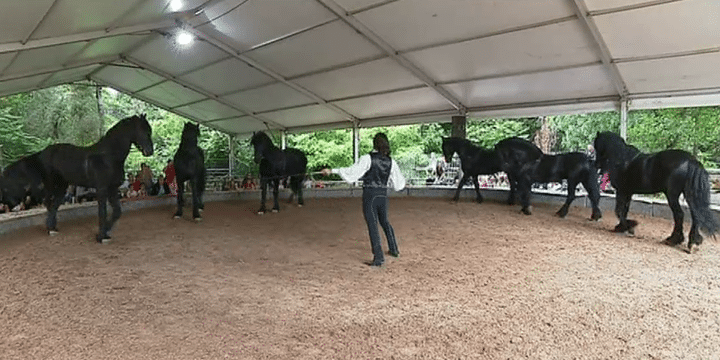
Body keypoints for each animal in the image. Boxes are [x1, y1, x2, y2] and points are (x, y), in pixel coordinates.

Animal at [40, 112, 153, 242]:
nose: (150, 151)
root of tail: (44, 152)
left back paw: (53, 228)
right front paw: (101, 236)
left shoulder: (112, 188)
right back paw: (50, 228)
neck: (108, 157)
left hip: (62, 186)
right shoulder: (102, 189)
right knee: (48, 203)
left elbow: (117, 212)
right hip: (52, 184)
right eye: (142, 130)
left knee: (54, 204)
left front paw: (106, 232)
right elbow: (102, 212)